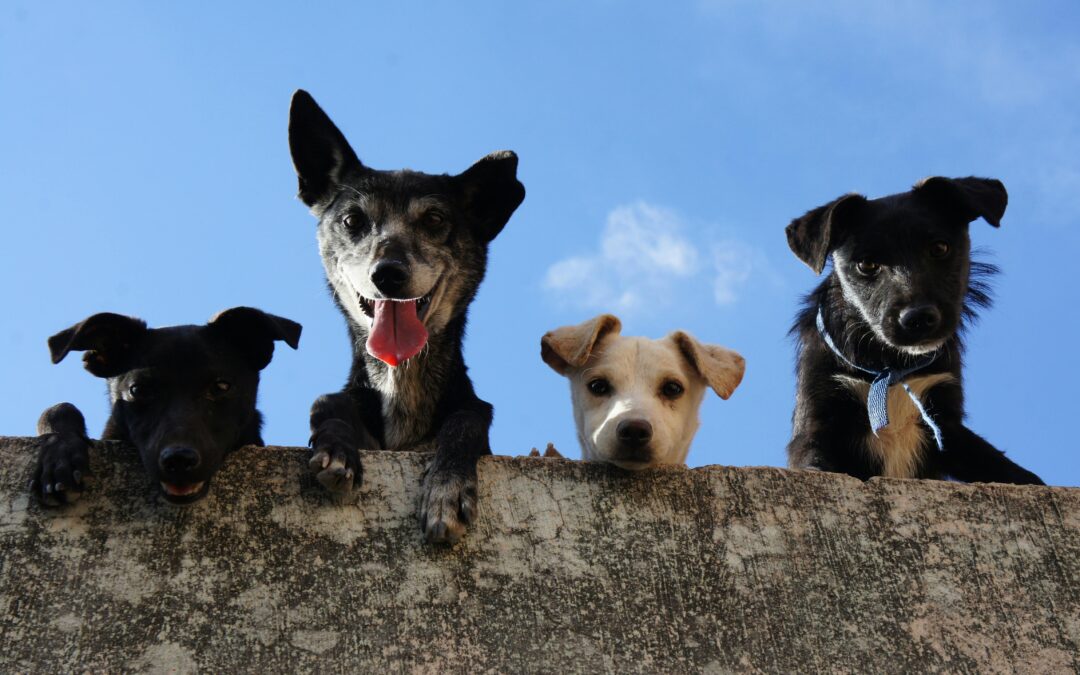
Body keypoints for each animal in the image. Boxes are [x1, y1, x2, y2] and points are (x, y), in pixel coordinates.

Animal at [287, 89, 522, 542]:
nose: (388, 274)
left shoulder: (471, 417)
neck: (402, 384)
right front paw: (336, 448)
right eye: (352, 220)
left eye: (434, 219)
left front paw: (447, 489)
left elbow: (466, 420)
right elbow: (326, 401)